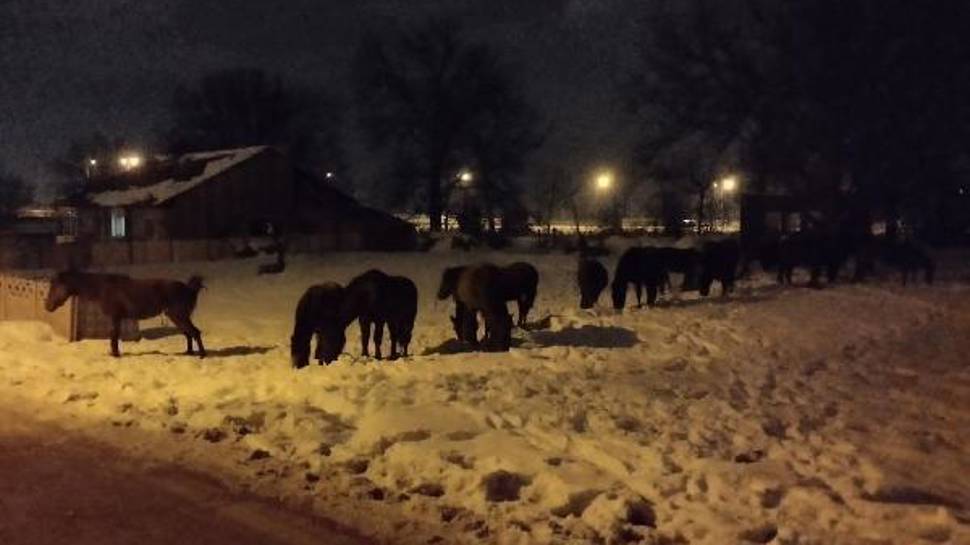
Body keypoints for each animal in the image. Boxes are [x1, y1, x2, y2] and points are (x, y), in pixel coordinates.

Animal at [46, 268, 205, 356]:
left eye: (54, 287)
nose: (47, 306)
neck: (102, 288)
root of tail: (189, 289)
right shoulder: (117, 318)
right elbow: (114, 335)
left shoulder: (115, 317)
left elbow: (114, 336)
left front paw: (115, 354)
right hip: (177, 317)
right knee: (188, 334)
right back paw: (189, 353)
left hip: (179, 316)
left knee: (195, 332)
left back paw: (201, 355)